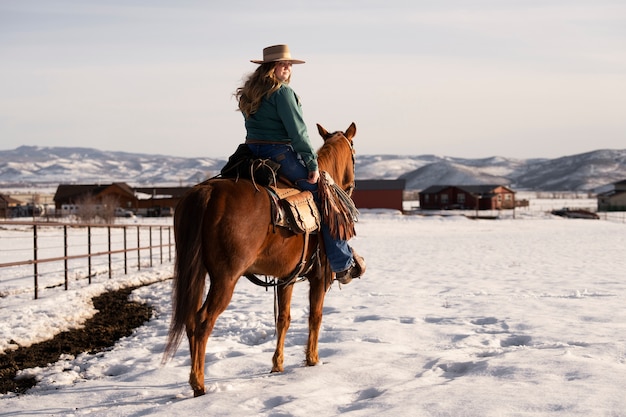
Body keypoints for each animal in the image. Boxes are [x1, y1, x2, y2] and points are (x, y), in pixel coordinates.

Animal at [162, 122, 356, 394]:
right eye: (354, 154)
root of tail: (207, 192)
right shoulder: (319, 276)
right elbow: (315, 317)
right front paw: (312, 360)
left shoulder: (286, 278)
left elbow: (283, 319)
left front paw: (277, 365)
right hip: (225, 279)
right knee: (202, 321)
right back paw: (198, 383)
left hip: (196, 274)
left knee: (190, 319)